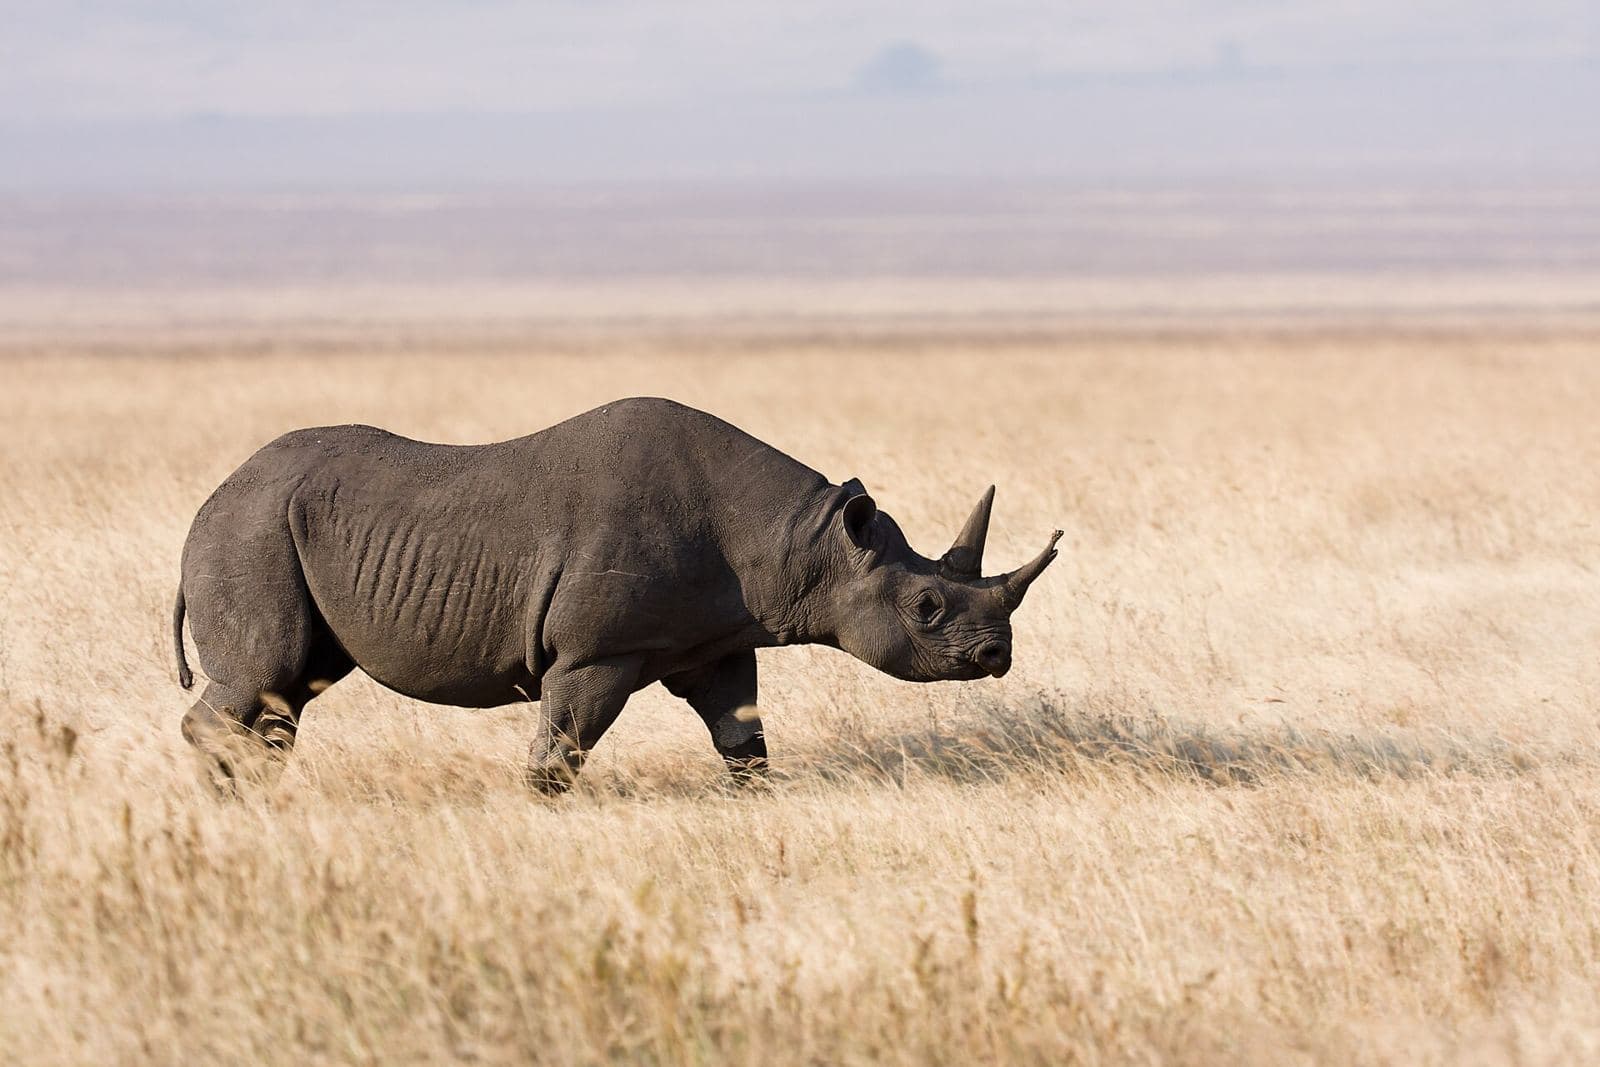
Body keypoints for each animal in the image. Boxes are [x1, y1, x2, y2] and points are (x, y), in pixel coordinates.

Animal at [173, 397, 1060, 790]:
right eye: (927, 609)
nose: (998, 653)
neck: (805, 542)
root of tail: (207, 501)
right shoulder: (597, 651)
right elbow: (561, 749)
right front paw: (541, 809)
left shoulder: (716, 638)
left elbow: (743, 737)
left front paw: (754, 799)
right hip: (251, 529)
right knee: (267, 670)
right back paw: (230, 795)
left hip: (269, 527)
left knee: (292, 687)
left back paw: (256, 793)